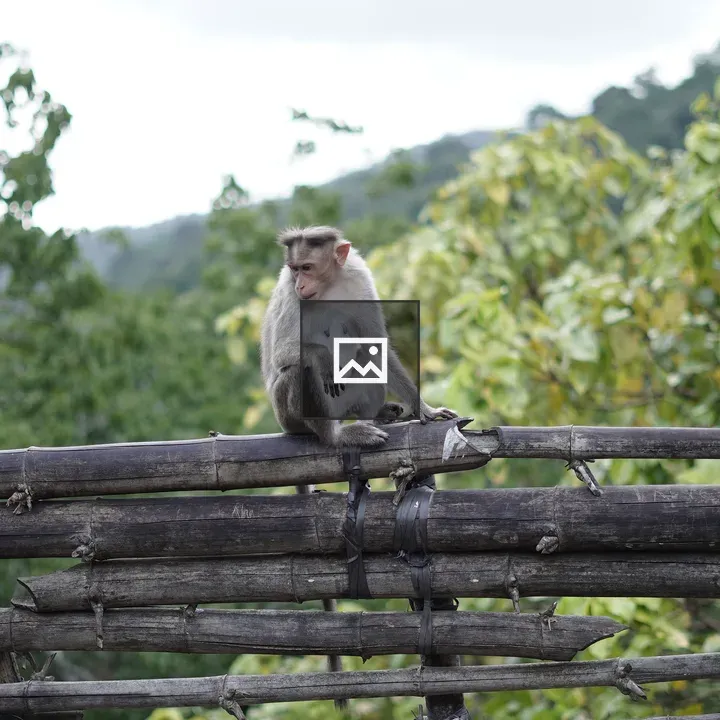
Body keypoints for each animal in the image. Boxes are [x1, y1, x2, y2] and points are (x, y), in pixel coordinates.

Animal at [260, 225, 458, 450]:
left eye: (307, 268)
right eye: (295, 269)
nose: (300, 285)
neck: (329, 285)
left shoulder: (360, 279)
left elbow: (377, 345)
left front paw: (424, 408)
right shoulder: (289, 291)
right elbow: (281, 352)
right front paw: (324, 357)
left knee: (368, 356)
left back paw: (377, 416)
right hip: (288, 418)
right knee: (301, 368)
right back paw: (336, 436)